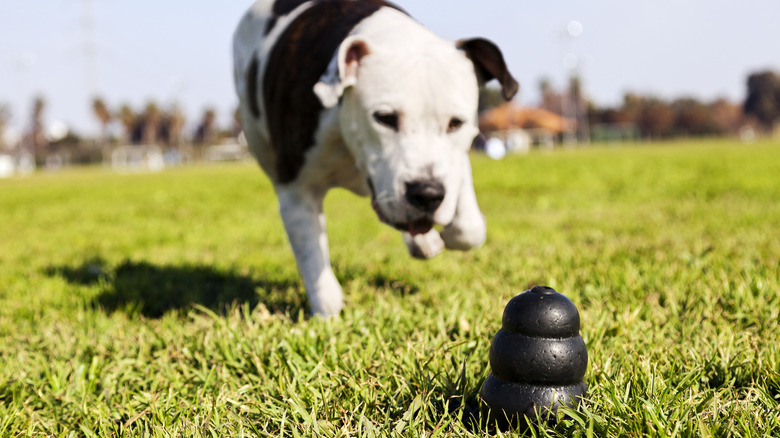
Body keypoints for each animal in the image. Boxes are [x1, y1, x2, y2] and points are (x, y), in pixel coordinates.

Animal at [235, 0, 520, 316]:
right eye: (385, 118)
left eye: (456, 123)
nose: (427, 194)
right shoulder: (296, 192)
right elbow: (313, 258)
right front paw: (328, 313)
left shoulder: (452, 163)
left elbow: (469, 227)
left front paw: (443, 233)